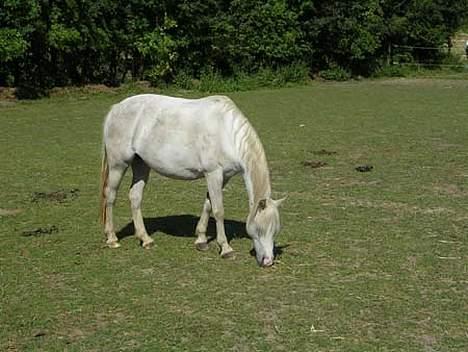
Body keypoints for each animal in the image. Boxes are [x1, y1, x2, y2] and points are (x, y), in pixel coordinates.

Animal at [98, 93, 284, 266]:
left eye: (275, 230)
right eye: (259, 229)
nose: (268, 261)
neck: (226, 132)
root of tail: (115, 108)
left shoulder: (223, 177)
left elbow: (208, 205)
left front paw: (201, 240)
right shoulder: (213, 174)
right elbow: (218, 210)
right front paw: (225, 249)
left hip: (141, 164)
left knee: (135, 197)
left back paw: (146, 239)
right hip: (118, 164)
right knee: (110, 196)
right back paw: (112, 238)